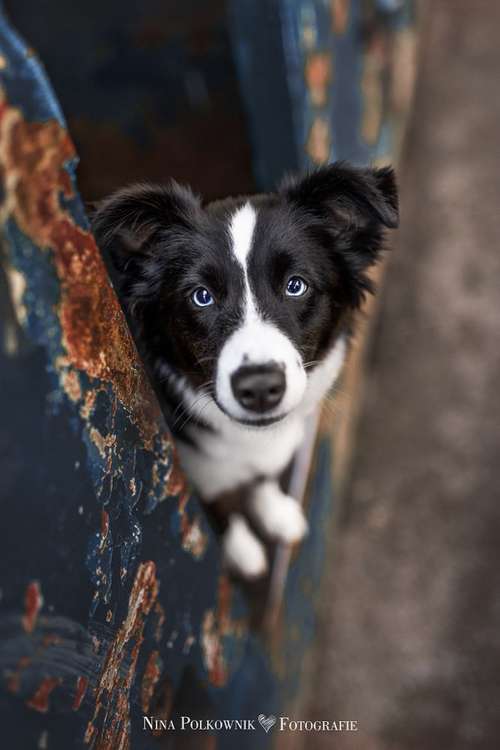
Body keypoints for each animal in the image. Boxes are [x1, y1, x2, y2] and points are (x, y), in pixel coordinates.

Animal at [93, 162, 398, 580]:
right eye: (201, 296)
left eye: (296, 286)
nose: (259, 388)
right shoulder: (200, 474)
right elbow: (222, 513)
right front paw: (242, 552)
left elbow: (263, 479)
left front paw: (276, 512)